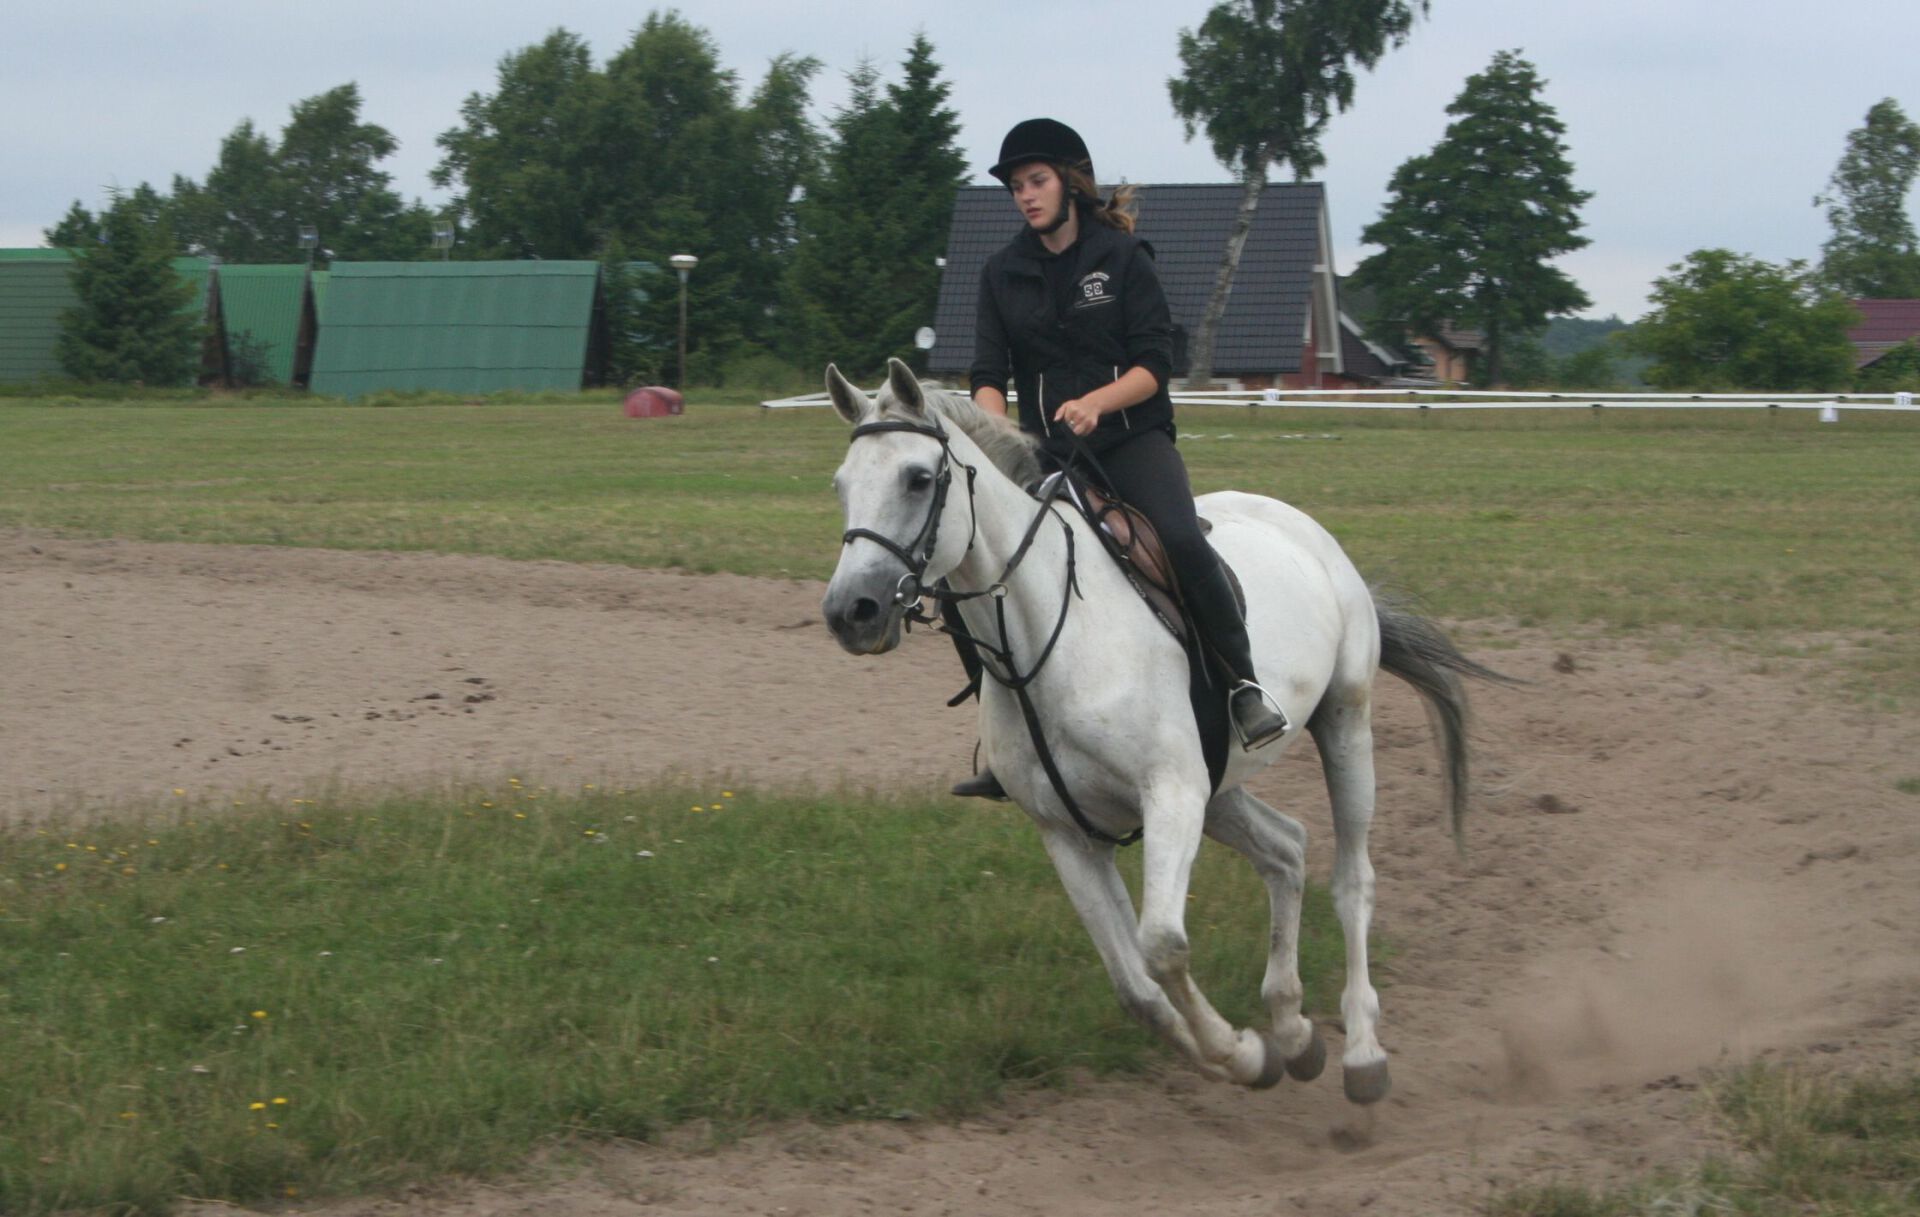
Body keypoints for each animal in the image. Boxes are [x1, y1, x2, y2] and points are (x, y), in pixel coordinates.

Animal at [821, 358, 1507, 1102]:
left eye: (918, 478)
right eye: (841, 485)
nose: (850, 611)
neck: (1053, 635)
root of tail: (1305, 528)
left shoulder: (1171, 795)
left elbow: (1162, 946)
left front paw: (1241, 1051)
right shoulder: (1068, 830)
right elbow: (1138, 989)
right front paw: (1250, 1053)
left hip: (1343, 726)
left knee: (1352, 880)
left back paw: (1361, 1053)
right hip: (1220, 785)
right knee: (1286, 849)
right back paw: (1295, 1031)